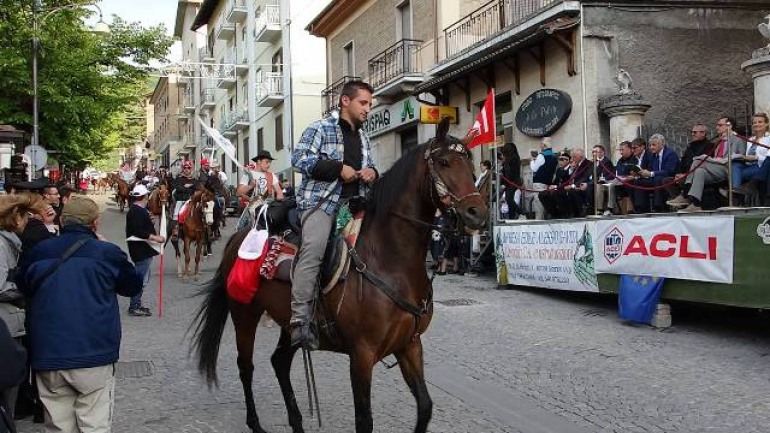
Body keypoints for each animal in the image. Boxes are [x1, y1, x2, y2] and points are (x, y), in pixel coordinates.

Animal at [188, 118, 484, 432]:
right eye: (444, 162)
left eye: (469, 162)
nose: (477, 212)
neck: (389, 260)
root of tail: (239, 236)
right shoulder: (362, 354)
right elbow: (364, 419)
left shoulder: (410, 345)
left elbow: (425, 406)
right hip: (245, 314)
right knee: (246, 366)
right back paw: (255, 423)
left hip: (288, 324)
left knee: (279, 362)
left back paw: (297, 422)